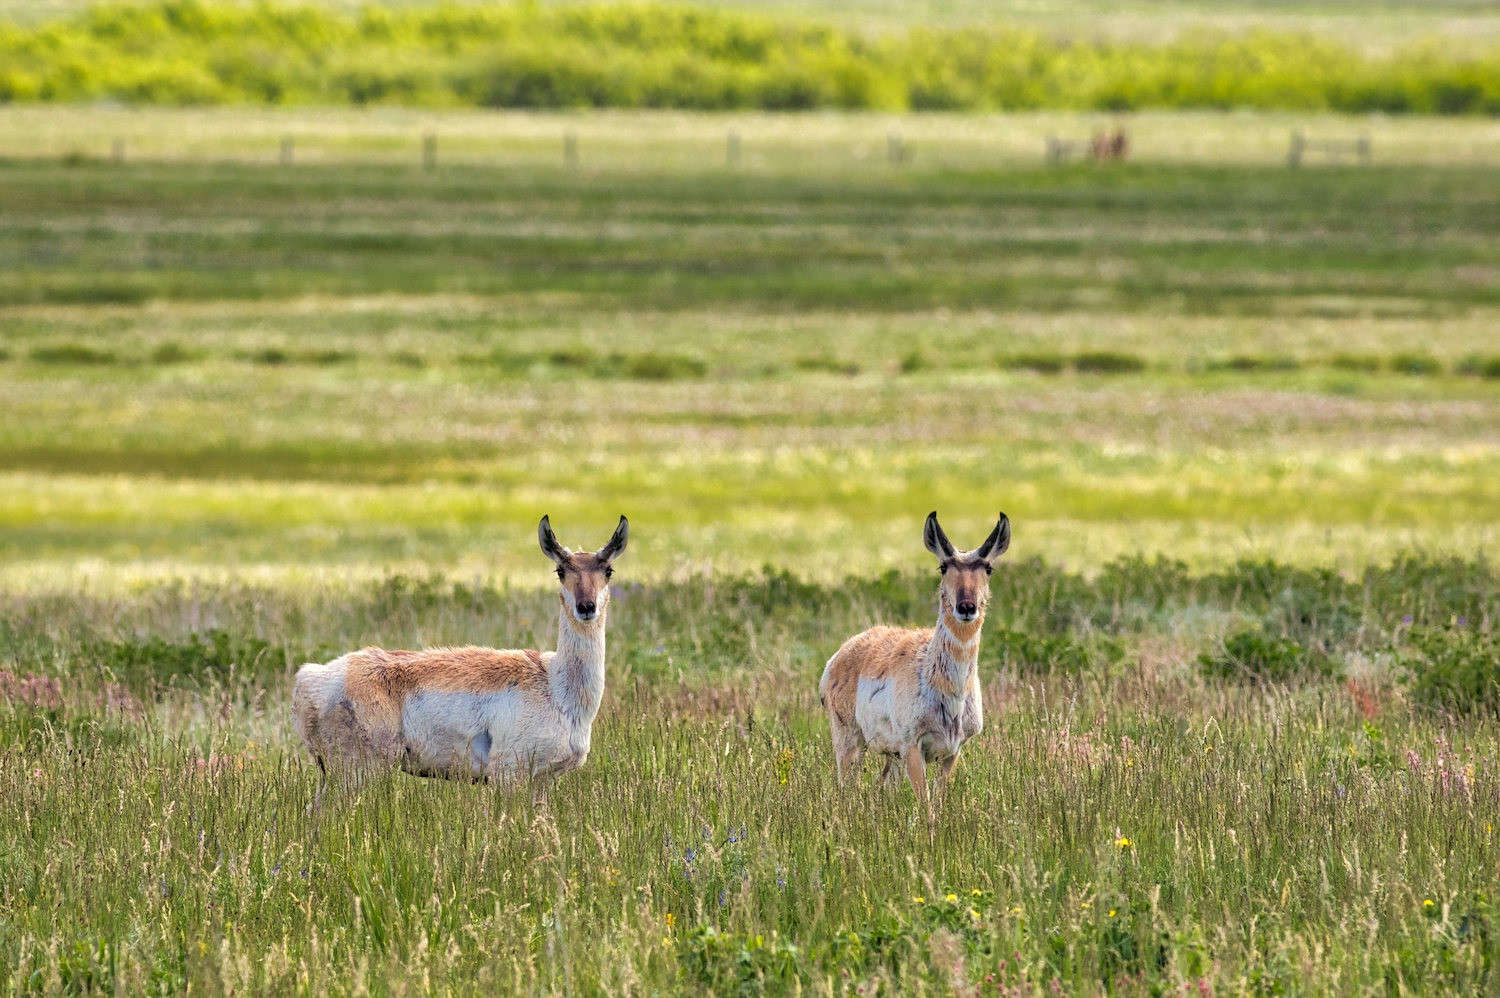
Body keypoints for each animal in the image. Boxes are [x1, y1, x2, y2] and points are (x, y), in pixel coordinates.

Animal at [292, 513, 627, 786]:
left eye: (608, 570)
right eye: (560, 570)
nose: (586, 607)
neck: (555, 684)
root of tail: (310, 677)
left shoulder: (542, 781)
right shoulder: (509, 776)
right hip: (358, 773)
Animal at [816, 510, 1014, 804]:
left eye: (988, 568)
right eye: (943, 567)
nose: (966, 607)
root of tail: (841, 653)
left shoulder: (952, 752)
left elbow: (939, 800)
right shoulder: (912, 747)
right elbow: (925, 806)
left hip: (891, 756)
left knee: (882, 786)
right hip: (850, 742)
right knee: (846, 790)